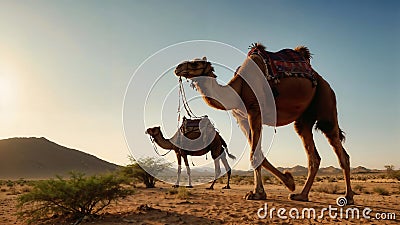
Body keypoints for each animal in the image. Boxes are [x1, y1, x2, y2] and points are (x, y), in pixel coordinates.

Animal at [173, 42, 354, 204]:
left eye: (195, 63)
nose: (178, 67)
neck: (238, 88)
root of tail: (323, 81)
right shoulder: (242, 119)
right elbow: (258, 153)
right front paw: (288, 181)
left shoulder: (255, 111)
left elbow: (254, 154)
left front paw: (257, 193)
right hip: (304, 118)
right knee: (313, 154)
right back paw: (301, 195)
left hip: (326, 99)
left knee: (338, 147)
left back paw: (348, 197)